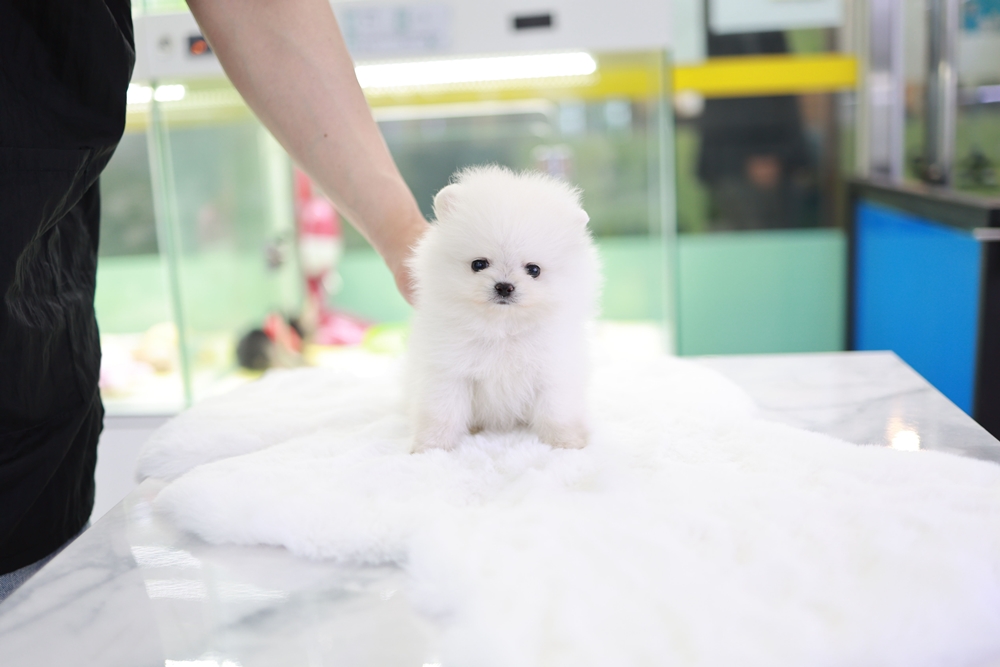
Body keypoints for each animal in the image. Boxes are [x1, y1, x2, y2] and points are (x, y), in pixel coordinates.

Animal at [407, 165, 600, 453]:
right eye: (479, 264)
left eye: (534, 270)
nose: (504, 286)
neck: (503, 328)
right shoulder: (448, 371)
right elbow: (442, 412)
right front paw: (432, 447)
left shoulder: (552, 373)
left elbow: (557, 413)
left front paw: (566, 442)